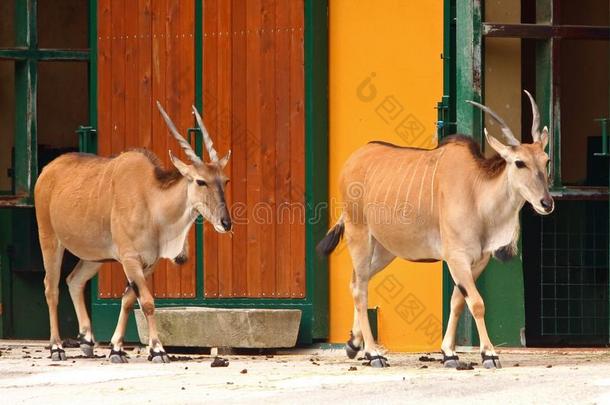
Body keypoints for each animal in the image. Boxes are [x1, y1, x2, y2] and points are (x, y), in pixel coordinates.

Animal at [35, 102, 230, 362]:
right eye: (200, 181)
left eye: (225, 180)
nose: (226, 222)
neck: (150, 198)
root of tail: (47, 170)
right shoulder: (130, 260)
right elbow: (146, 301)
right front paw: (157, 349)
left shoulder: (148, 263)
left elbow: (128, 300)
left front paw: (116, 349)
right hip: (50, 240)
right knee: (51, 287)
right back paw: (56, 347)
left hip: (94, 257)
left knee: (74, 280)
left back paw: (86, 340)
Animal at [318, 90, 552, 368]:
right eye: (519, 163)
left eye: (547, 160)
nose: (546, 203)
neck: (477, 191)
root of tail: (354, 159)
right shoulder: (457, 258)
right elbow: (476, 303)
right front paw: (489, 354)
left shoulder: (478, 261)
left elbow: (458, 302)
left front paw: (449, 353)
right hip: (359, 234)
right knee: (360, 289)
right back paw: (374, 354)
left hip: (386, 250)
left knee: (357, 280)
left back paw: (355, 345)